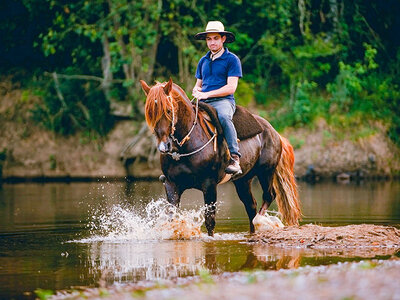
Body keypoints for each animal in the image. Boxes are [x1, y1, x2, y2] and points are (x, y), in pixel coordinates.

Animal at [141, 78, 300, 237]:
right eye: (149, 113)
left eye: (168, 110)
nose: (164, 147)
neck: (185, 145)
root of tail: (274, 132)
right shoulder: (171, 184)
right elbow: (171, 217)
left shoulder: (209, 184)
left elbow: (209, 221)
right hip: (243, 180)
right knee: (251, 206)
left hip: (266, 172)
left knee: (268, 196)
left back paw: (261, 220)